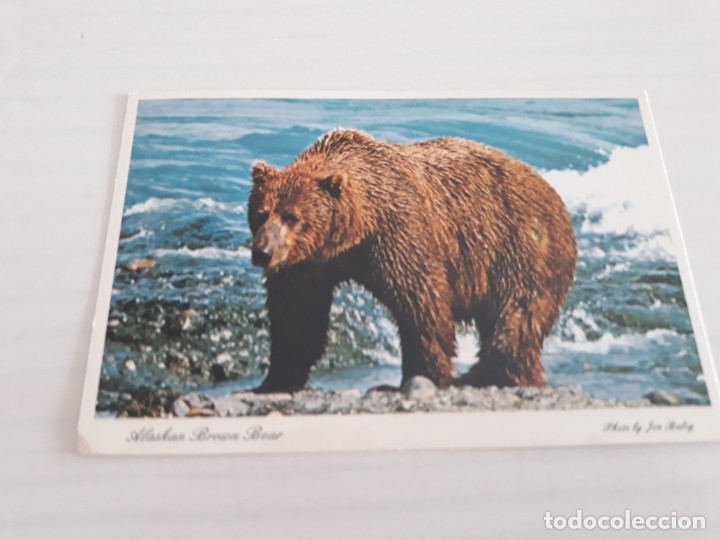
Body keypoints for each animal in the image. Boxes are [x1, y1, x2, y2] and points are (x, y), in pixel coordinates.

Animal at [248, 128, 576, 393]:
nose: (262, 252)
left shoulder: (398, 232)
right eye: (261, 213)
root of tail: (554, 194)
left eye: (292, 216)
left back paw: (489, 375)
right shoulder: (308, 263)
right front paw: (275, 379)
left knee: (517, 316)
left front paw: (426, 374)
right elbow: (297, 316)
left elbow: (421, 303)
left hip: (521, 248)